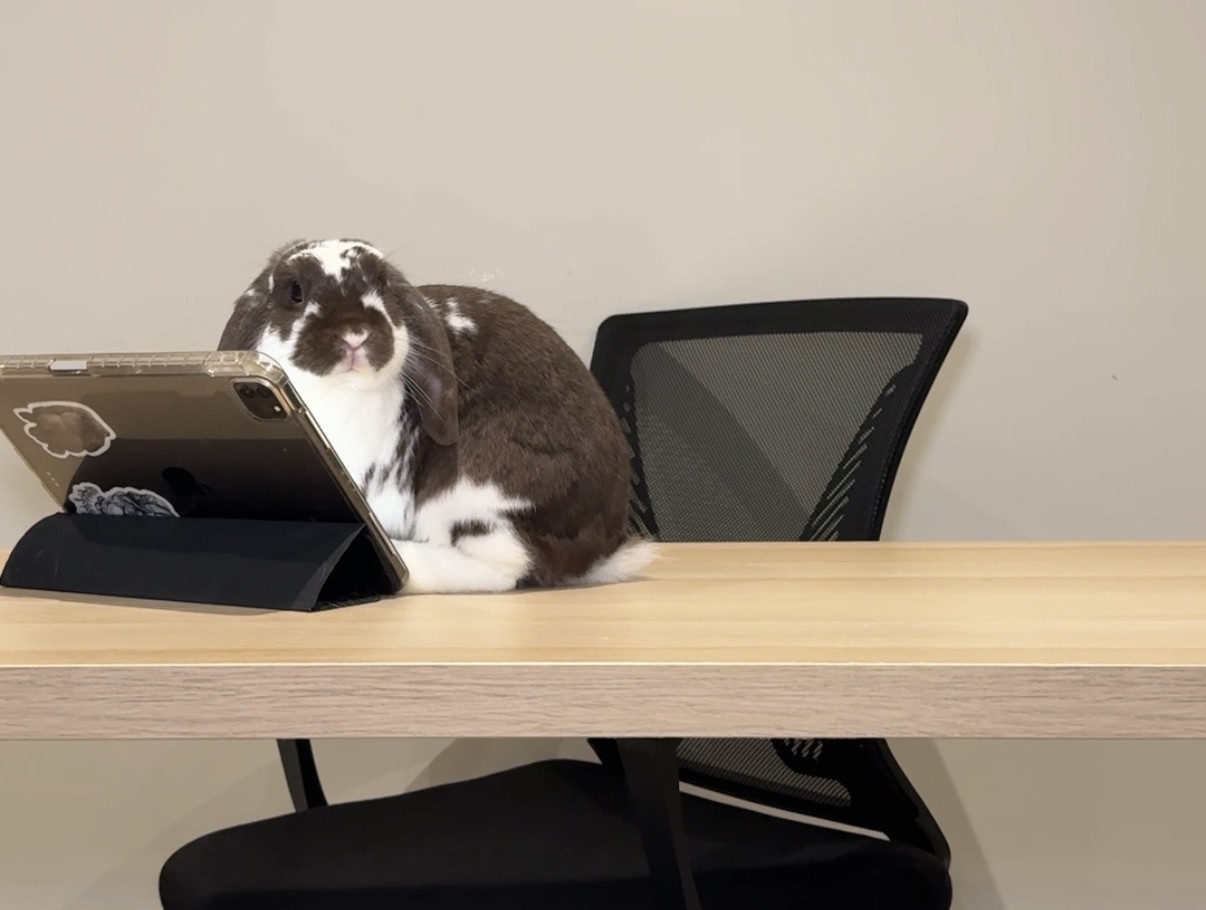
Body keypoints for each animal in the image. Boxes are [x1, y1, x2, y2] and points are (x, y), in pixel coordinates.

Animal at [219, 238, 656, 594]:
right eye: (295, 290)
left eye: (383, 285)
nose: (355, 333)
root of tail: (597, 551)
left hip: (477, 486)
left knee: (505, 567)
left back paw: (404, 564)